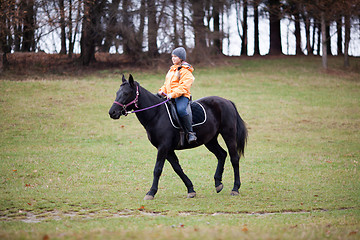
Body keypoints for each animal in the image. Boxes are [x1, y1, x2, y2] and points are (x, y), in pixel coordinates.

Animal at [107, 75, 248, 201]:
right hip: (210, 140)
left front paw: (151, 192)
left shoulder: (163, 147)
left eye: (126, 94)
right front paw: (191, 190)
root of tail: (227, 101)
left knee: (234, 158)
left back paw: (235, 188)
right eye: (117, 93)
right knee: (221, 155)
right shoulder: (167, 149)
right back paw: (218, 183)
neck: (157, 115)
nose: (112, 112)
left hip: (228, 135)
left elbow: (157, 169)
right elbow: (177, 169)